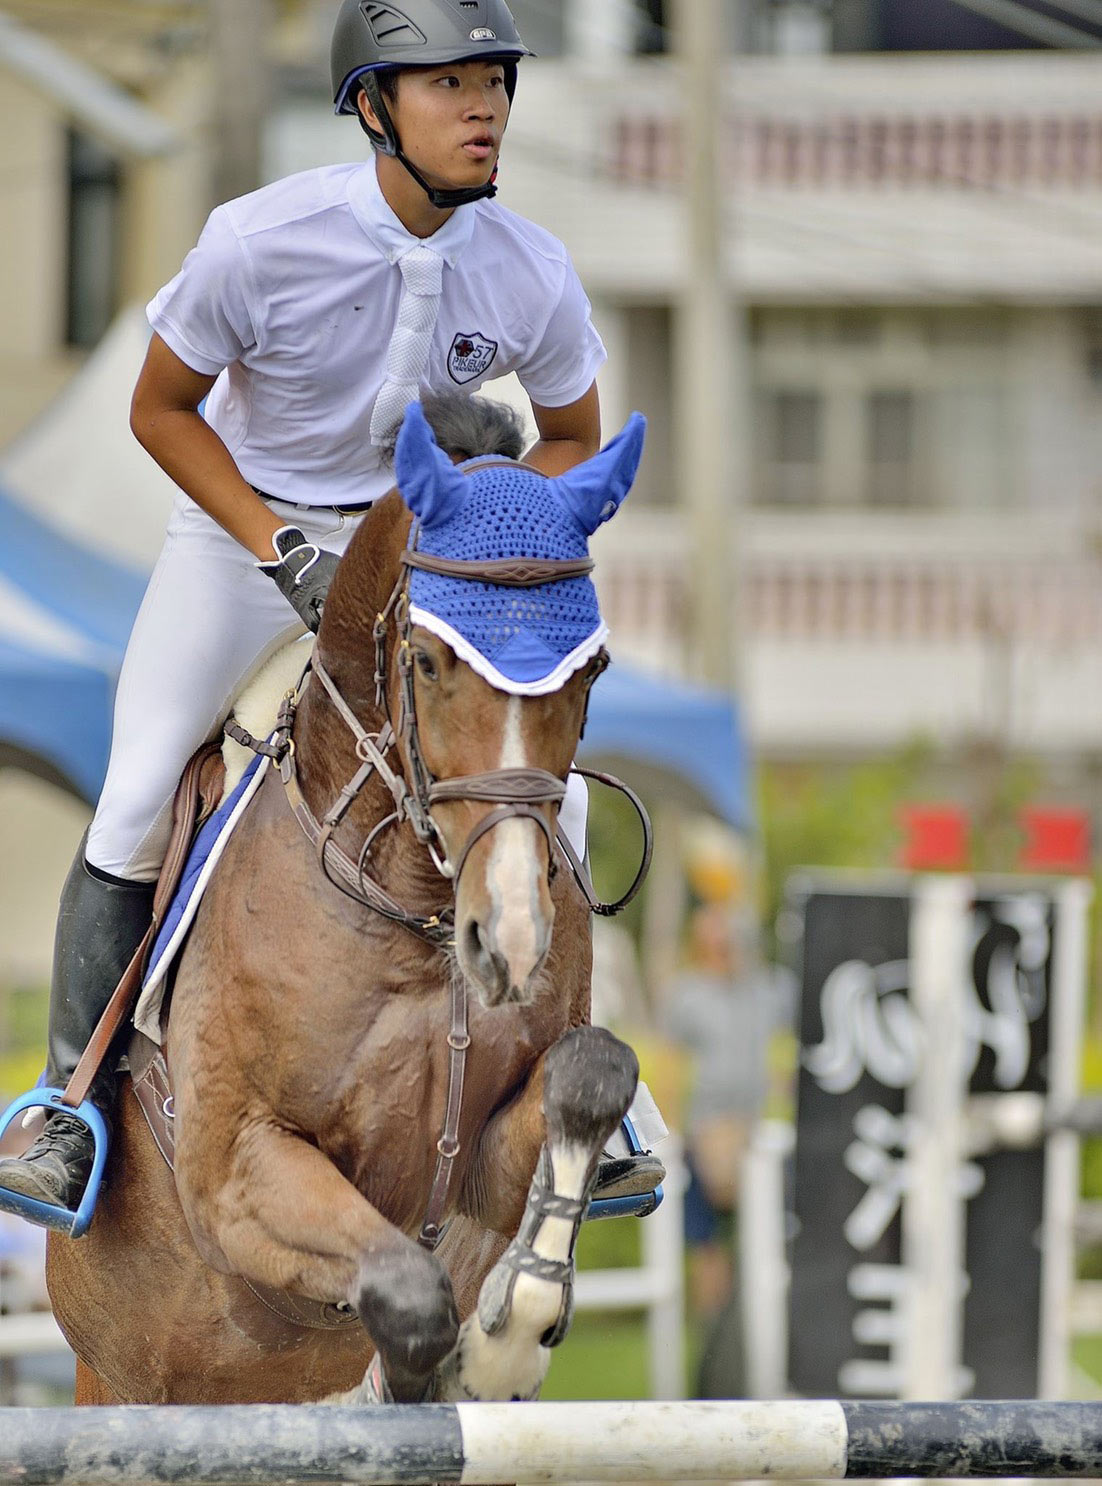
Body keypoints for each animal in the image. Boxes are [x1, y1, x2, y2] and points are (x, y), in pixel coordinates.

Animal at [45, 401, 647, 1408]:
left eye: (592, 668)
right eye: (430, 662)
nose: (511, 942)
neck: (418, 911)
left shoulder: (482, 1168)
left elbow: (591, 1071)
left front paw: (505, 1339)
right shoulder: (237, 1173)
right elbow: (407, 1293)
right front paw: (459, 1361)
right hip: (128, 1375)